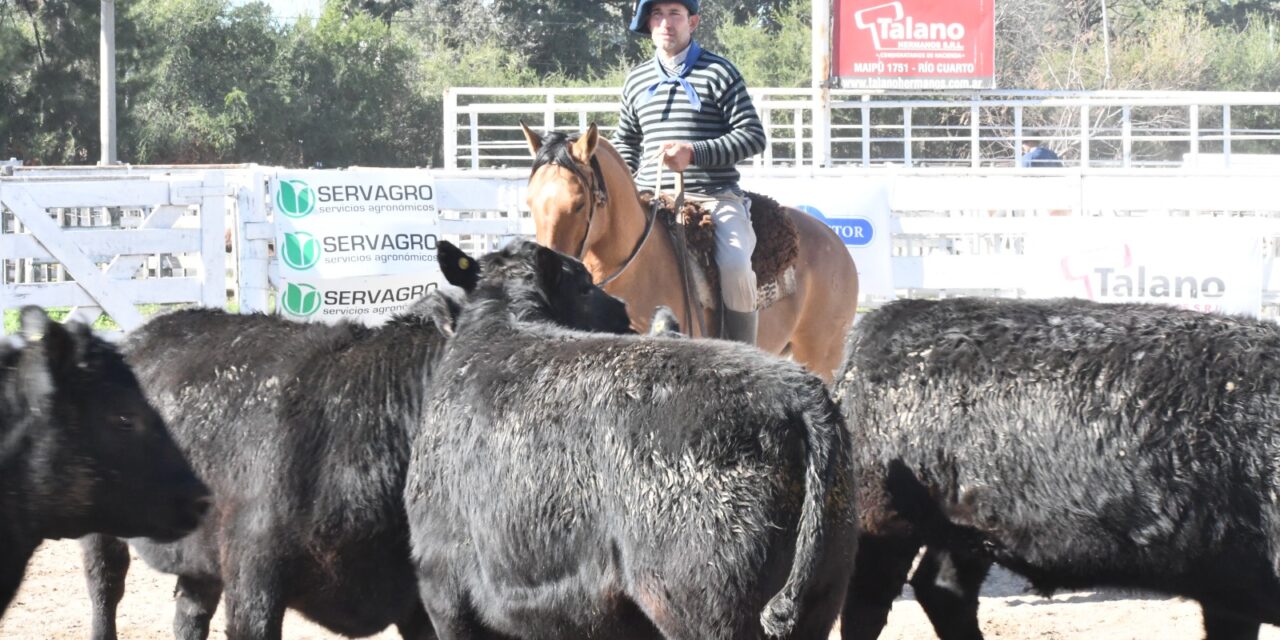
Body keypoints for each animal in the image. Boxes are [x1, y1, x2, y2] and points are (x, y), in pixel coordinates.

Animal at [76, 240, 629, 640]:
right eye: (583, 285)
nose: (625, 310)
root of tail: (146, 330)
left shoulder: (418, 600)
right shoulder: (254, 579)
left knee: (189, 612)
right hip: (99, 529)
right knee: (104, 590)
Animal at [404, 240, 855, 640]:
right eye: (584, 285)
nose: (621, 308)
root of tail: (797, 390)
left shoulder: (441, 585)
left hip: (706, 607)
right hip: (820, 595)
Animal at [834, 298, 1280, 640]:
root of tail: (886, 316)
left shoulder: (1231, 592)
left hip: (965, 525)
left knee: (943, 588)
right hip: (885, 519)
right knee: (865, 606)